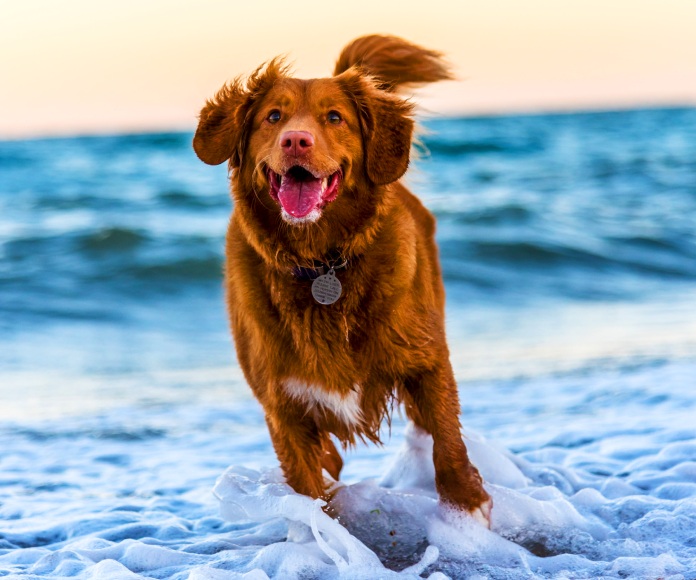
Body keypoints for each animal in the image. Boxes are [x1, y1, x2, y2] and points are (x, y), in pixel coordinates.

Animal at [193, 35, 492, 524]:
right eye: (273, 117)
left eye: (334, 117)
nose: (296, 140)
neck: (321, 263)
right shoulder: (282, 405)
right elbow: (308, 488)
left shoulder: (426, 359)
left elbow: (447, 439)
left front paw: (467, 505)